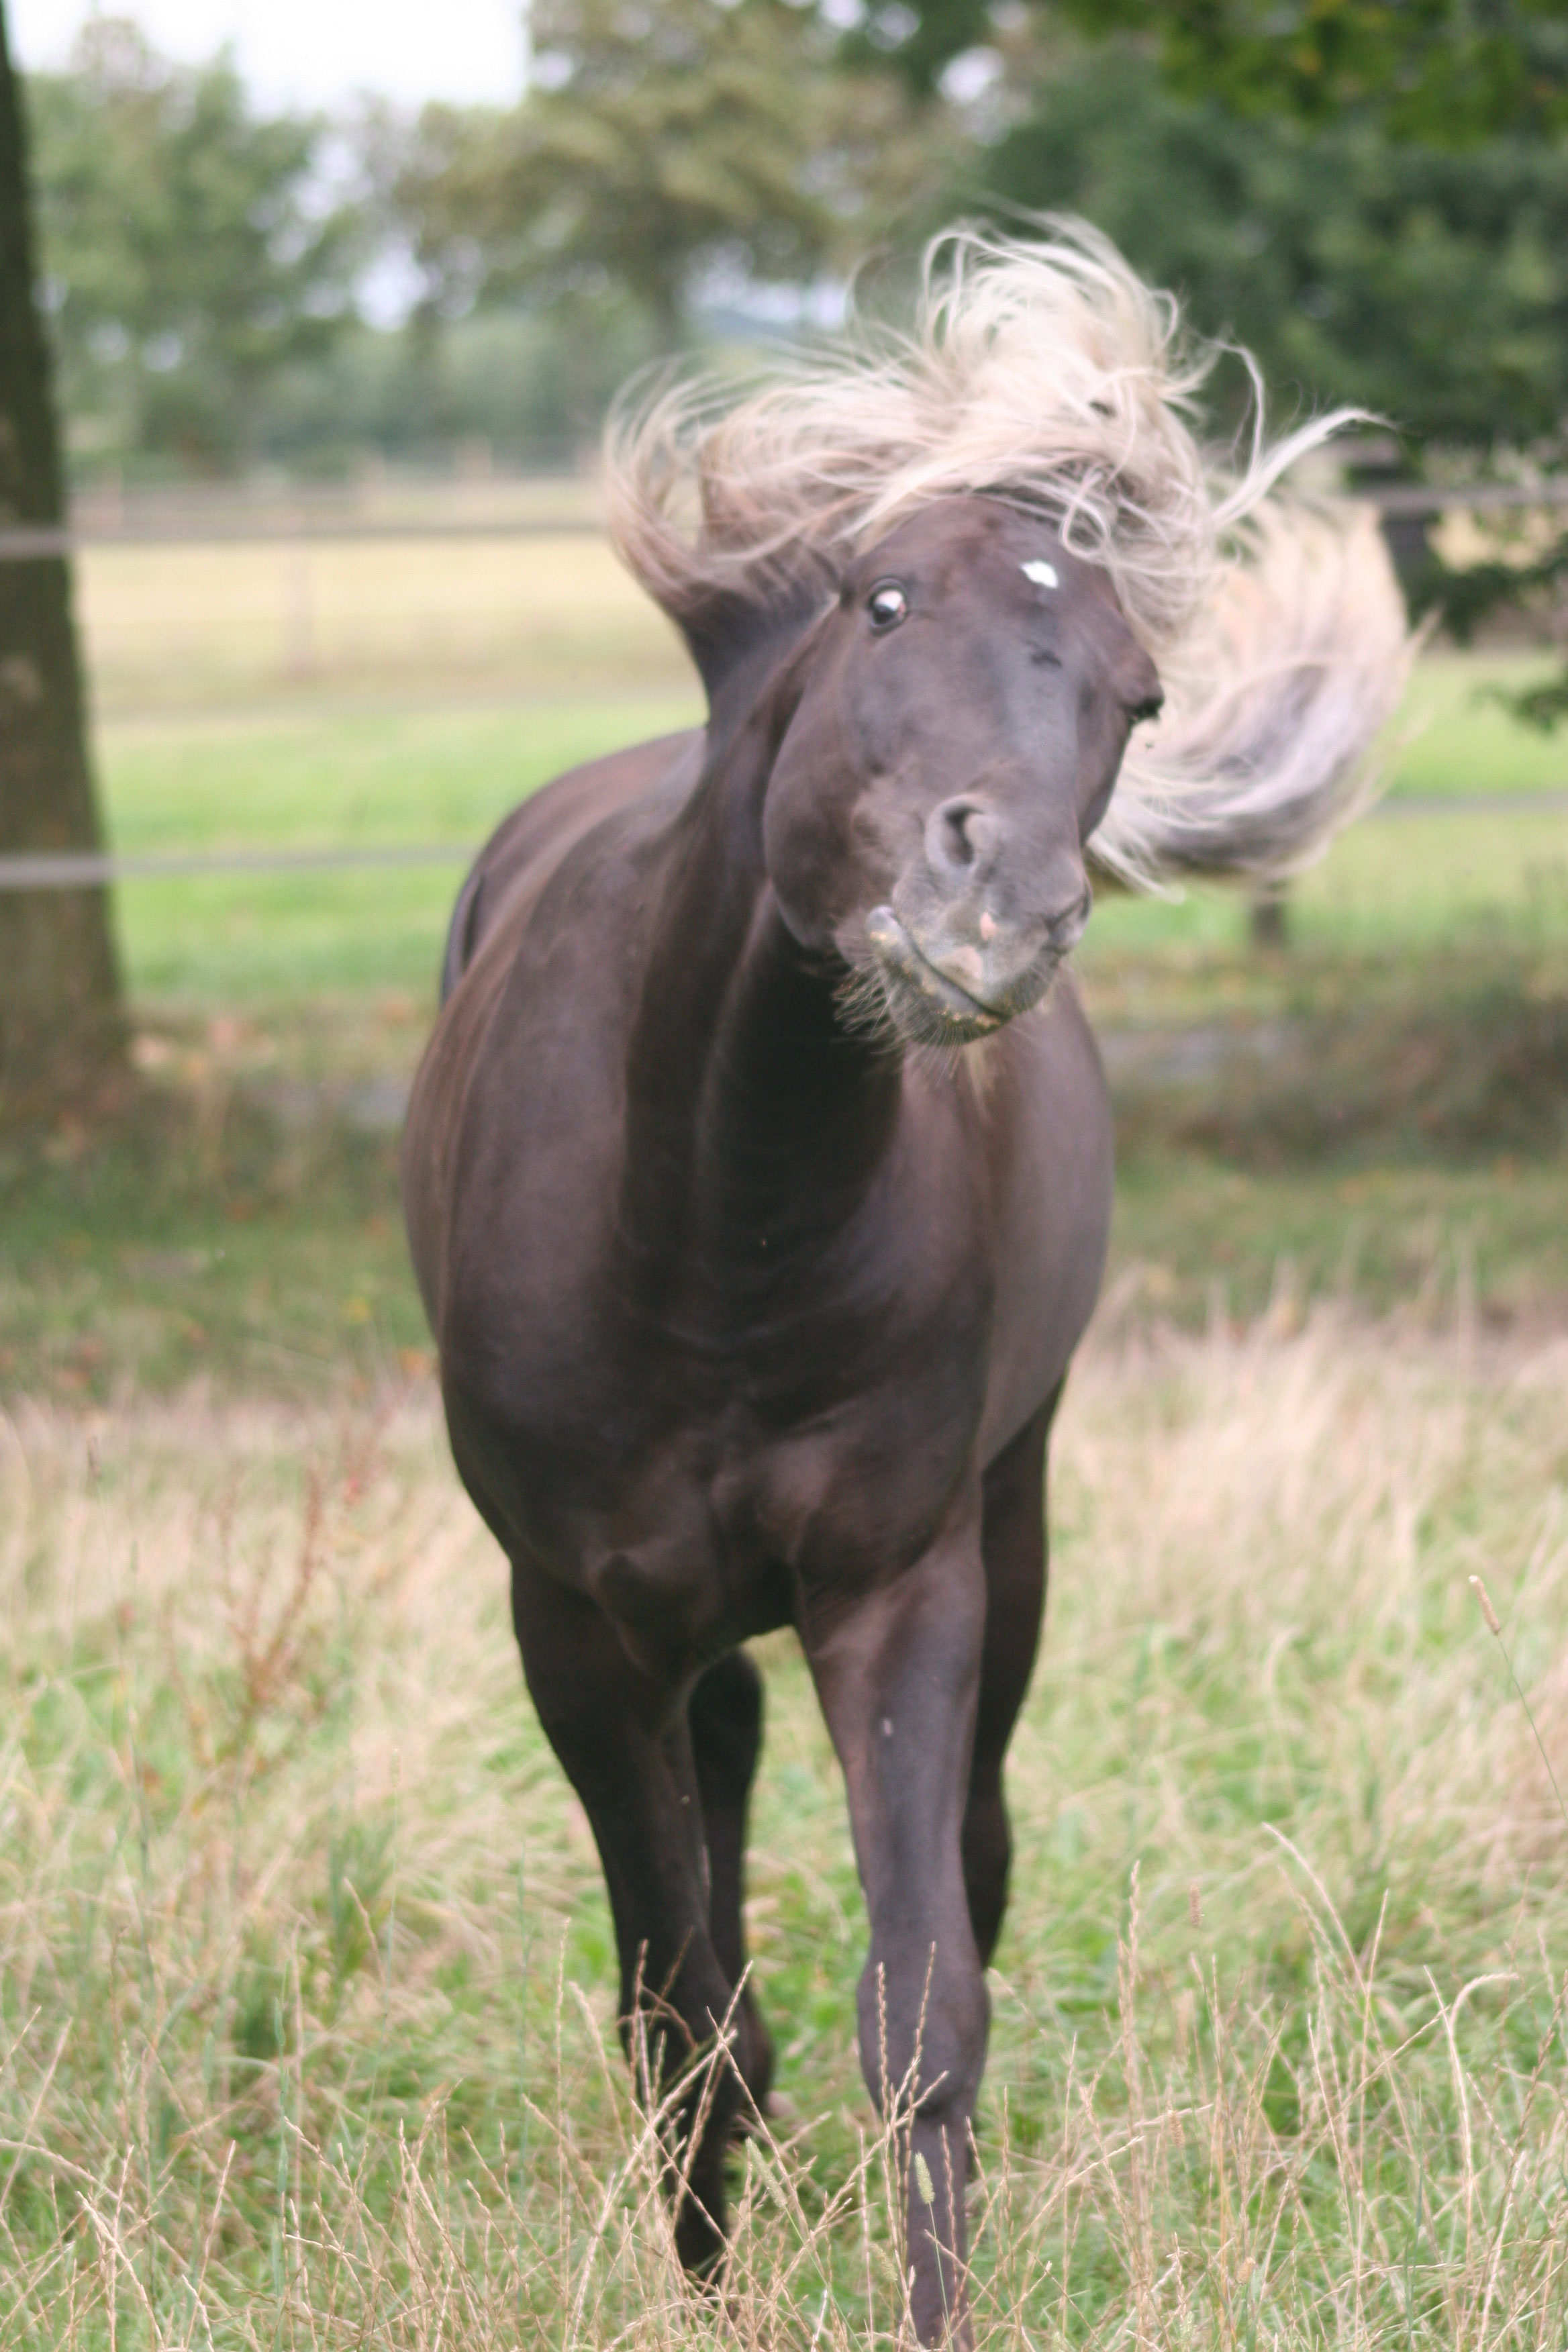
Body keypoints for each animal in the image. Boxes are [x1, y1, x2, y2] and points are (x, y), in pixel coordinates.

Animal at [402, 224, 1408, 2343]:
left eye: (1137, 689)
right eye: (875, 603)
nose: (989, 905)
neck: (713, 1225)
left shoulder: (898, 1584)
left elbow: (924, 2012)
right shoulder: (569, 1623)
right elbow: (679, 2010)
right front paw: (702, 2283)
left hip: (1008, 1527)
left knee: (967, 1856)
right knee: (703, 1864)